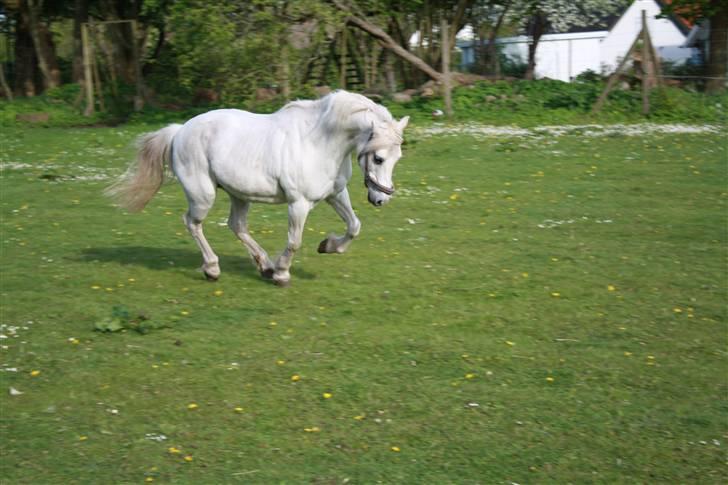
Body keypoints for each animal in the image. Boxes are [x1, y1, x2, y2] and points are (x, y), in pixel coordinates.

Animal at [105, 90, 409, 286]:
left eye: (397, 158)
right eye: (378, 158)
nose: (381, 199)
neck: (320, 142)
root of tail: (180, 130)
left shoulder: (334, 194)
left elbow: (354, 226)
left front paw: (328, 246)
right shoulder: (298, 203)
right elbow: (294, 241)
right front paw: (283, 274)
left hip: (239, 194)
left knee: (237, 225)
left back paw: (264, 265)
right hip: (203, 195)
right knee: (193, 223)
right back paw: (213, 269)